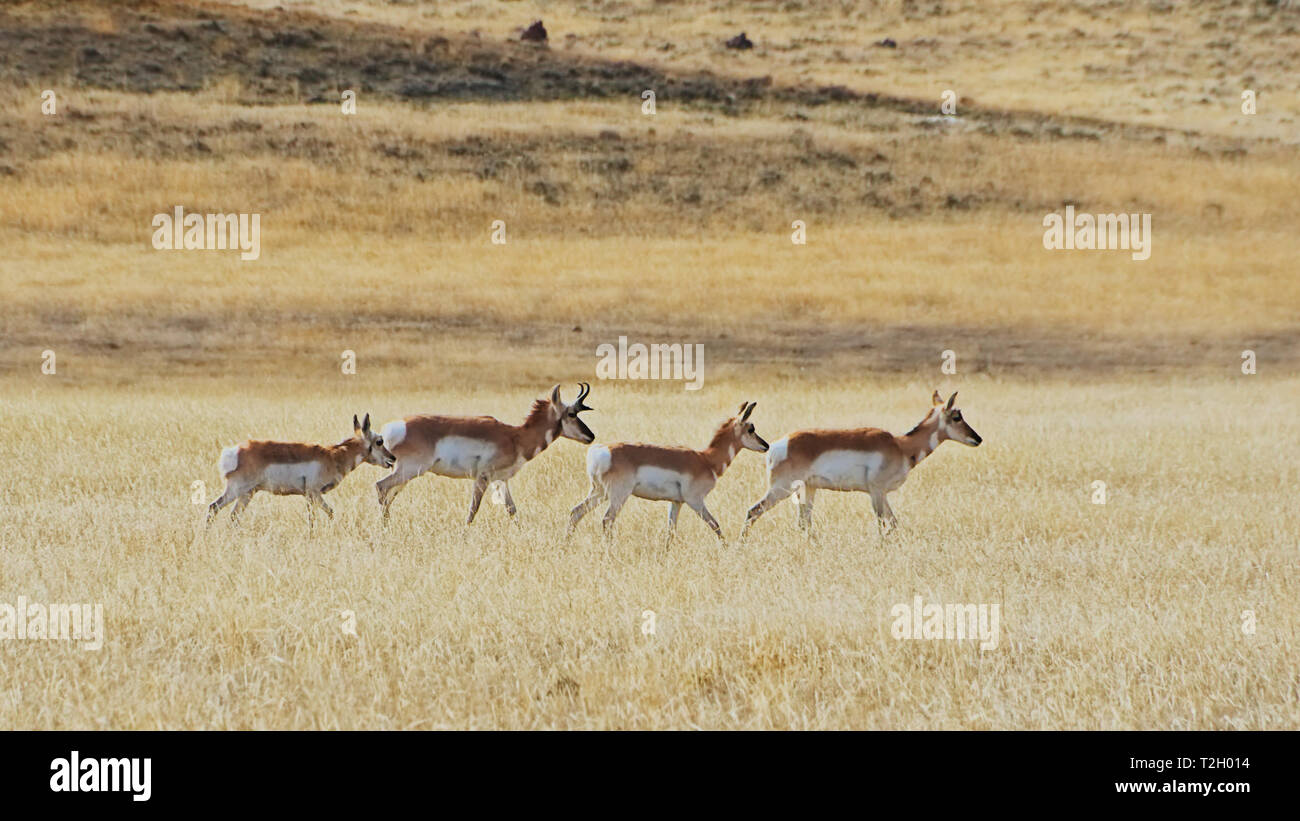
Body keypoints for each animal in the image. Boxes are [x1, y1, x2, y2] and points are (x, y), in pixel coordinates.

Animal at [204, 413, 390, 522]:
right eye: (379, 441)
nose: (393, 458)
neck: (333, 455)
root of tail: (236, 450)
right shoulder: (314, 493)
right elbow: (329, 513)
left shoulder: (308, 497)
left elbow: (312, 518)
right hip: (237, 491)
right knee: (214, 507)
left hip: (246, 494)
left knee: (232, 516)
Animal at [379, 384, 595, 522]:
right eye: (571, 414)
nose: (591, 436)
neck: (515, 437)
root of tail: (395, 427)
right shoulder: (482, 478)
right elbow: (472, 510)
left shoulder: (501, 480)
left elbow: (512, 510)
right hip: (409, 471)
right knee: (381, 488)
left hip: (405, 476)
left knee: (388, 497)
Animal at [572, 402, 769, 543]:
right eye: (751, 428)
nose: (766, 446)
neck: (706, 460)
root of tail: (601, 450)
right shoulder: (695, 501)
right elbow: (715, 525)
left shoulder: (676, 502)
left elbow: (671, 532)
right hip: (618, 496)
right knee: (607, 520)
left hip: (599, 493)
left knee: (576, 512)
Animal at [738, 392, 977, 535]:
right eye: (956, 417)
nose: (978, 439)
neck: (900, 445)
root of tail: (776, 445)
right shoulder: (876, 492)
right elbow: (882, 524)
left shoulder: (882, 494)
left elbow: (894, 523)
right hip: (782, 490)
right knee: (752, 511)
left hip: (807, 490)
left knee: (804, 523)